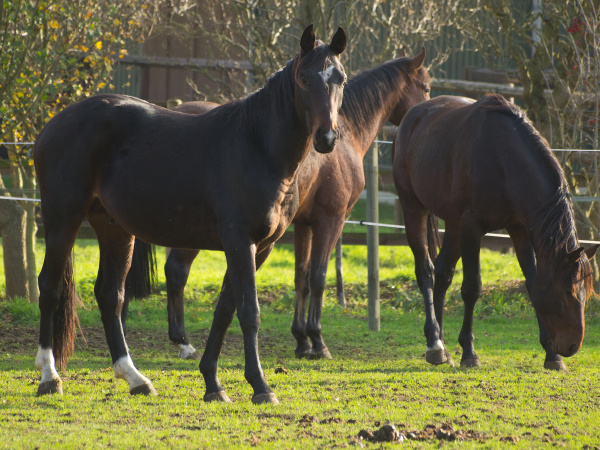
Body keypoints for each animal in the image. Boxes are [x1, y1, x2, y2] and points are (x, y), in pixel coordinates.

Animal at [32, 23, 350, 404]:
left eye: (341, 79)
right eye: (304, 78)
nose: (327, 138)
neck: (256, 145)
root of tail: (54, 124)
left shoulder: (260, 247)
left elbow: (225, 310)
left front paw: (213, 382)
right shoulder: (239, 241)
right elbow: (249, 312)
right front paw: (260, 386)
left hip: (114, 229)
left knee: (110, 296)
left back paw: (135, 378)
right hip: (62, 219)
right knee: (50, 288)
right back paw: (49, 377)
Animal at [129, 49, 432, 360]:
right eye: (426, 87)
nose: (427, 112)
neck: (346, 133)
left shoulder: (303, 225)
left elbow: (301, 278)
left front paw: (301, 340)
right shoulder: (330, 220)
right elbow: (318, 277)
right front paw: (317, 341)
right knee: (177, 270)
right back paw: (183, 342)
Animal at [392, 94, 596, 370]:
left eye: (585, 290)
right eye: (567, 292)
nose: (572, 346)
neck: (502, 159)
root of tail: (413, 114)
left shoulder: (519, 229)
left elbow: (532, 283)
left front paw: (551, 356)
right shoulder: (471, 228)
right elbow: (472, 288)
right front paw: (469, 353)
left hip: (453, 224)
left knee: (442, 273)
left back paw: (442, 347)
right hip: (414, 208)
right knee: (425, 271)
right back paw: (434, 344)